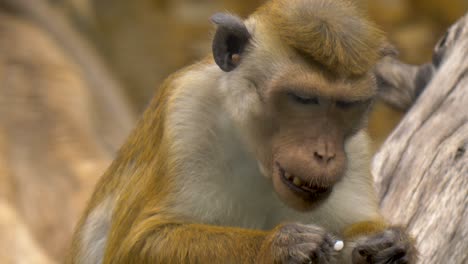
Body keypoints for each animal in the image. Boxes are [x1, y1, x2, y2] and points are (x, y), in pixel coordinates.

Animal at [68, 1, 416, 262]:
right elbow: (137, 244)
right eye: (303, 98)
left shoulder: (355, 150)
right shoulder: (185, 114)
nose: (326, 154)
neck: (253, 153)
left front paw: (391, 244)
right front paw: (280, 247)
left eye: (347, 104)